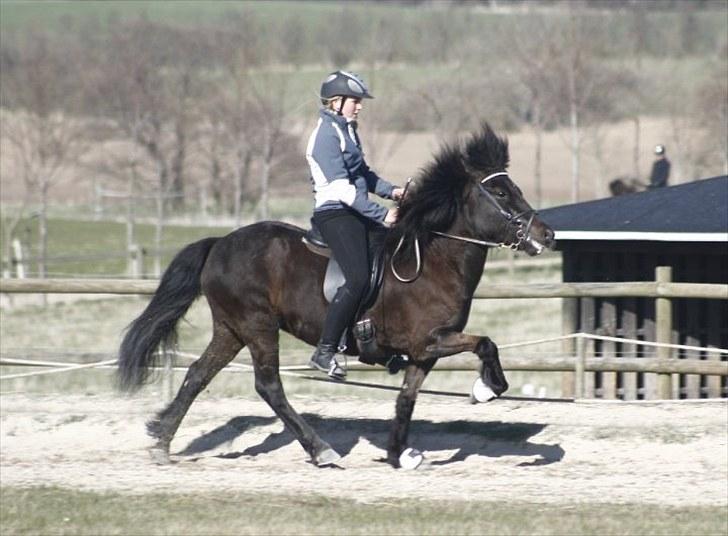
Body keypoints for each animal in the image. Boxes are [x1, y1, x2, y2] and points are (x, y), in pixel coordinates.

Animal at [116, 123, 556, 466]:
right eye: (502, 194)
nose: (547, 235)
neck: (434, 260)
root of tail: (219, 243)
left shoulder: (424, 352)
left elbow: (406, 399)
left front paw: (399, 454)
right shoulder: (430, 340)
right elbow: (486, 344)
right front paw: (486, 390)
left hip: (231, 329)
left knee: (197, 375)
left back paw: (161, 442)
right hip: (257, 326)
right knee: (268, 386)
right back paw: (321, 449)